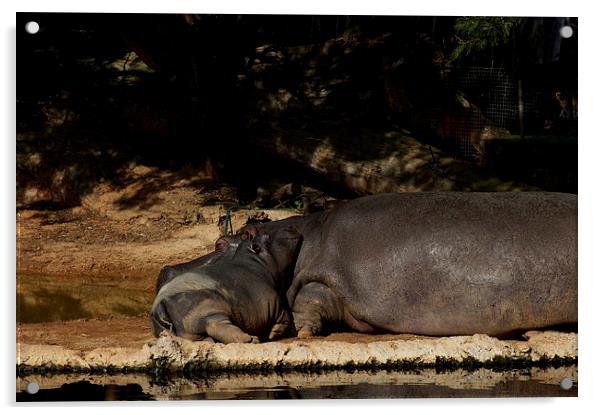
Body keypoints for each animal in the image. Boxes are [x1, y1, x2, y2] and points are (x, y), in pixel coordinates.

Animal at [150, 228, 300, 344]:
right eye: (268, 236)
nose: (290, 227)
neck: (255, 260)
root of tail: (160, 304)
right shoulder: (275, 303)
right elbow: (286, 318)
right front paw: (273, 333)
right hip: (208, 310)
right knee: (217, 326)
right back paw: (251, 339)